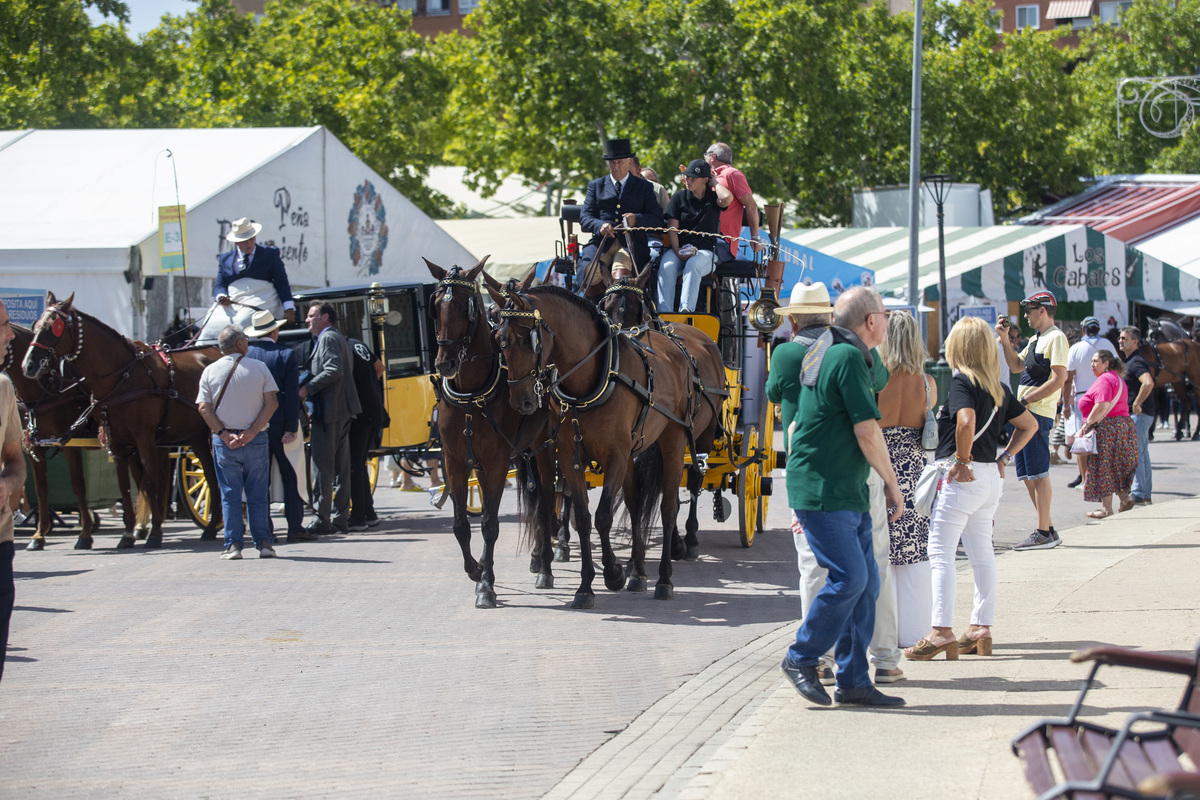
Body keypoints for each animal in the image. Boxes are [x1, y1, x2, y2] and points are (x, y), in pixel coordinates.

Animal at [22, 293, 224, 551]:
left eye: (54, 328)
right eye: (36, 326)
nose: (28, 365)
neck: (122, 376)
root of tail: (217, 351)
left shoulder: (144, 438)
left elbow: (150, 481)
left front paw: (154, 533)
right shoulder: (117, 443)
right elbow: (125, 485)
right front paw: (128, 533)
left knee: (214, 475)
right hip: (197, 436)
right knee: (210, 475)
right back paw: (211, 526)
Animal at [424, 256, 559, 606]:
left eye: (466, 308)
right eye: (436, 306)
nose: (444, 364)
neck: (472, 395)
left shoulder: (497, 462)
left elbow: (489, 524)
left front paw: (486, 585)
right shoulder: (455, 462)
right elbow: (461, 524)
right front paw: (476, 569)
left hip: (545, 450)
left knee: (547, 502)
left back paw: (546, 566)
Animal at [484, 284, 720, 604]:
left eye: (527, 339)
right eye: (500, 341)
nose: (522, 402)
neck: (592, 378)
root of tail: (677, 345)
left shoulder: (616, 456)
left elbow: (603, 516)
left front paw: (612, 573)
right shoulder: (570, 455)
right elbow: (583, 517)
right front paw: (585, 587)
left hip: (677, 439)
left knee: (670, 505)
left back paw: (664, 578)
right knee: (635, 503)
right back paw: (638, 573)